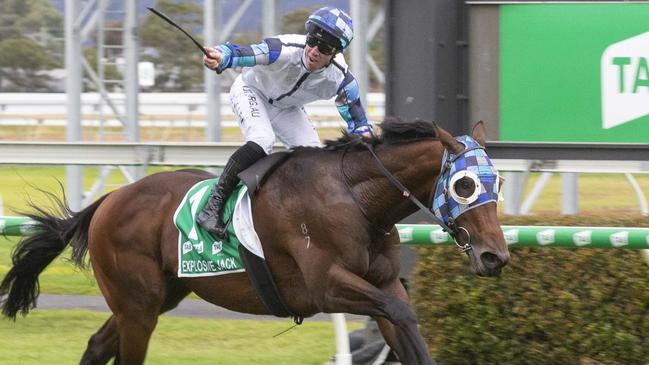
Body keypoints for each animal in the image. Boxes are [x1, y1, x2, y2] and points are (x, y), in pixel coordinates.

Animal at [1, 118, 512, 362]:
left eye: (500, 183)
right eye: (465, 185)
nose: (496, 256)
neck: (356, 199)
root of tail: (108, 200)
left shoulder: (382, 286)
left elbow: (405, 325)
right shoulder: (326, 285)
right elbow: (401, 312)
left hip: (154, 298)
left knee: (96, 346)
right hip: (138, 306)